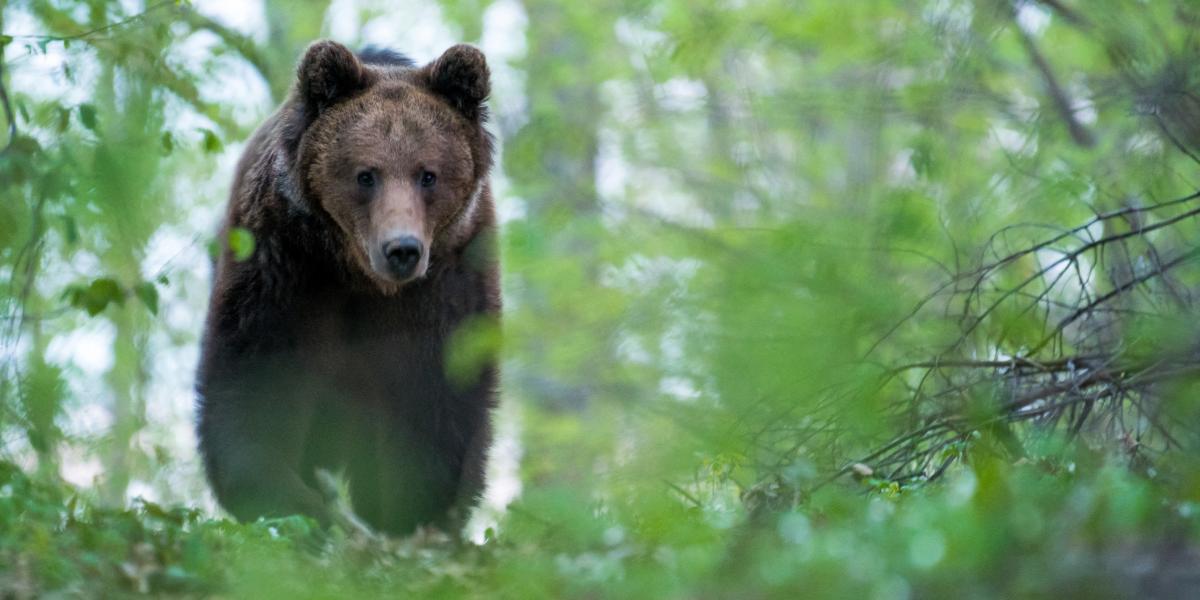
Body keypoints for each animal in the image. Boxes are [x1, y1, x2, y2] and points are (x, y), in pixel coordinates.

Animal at [196, 41, 496, 535]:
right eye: (366, 174)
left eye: (428, 174)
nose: (402, 249)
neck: (358, 276)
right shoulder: (284, 268)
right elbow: (256, 389)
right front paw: (300, 510)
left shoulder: (446, 287)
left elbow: (435, 408)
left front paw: (409, 521)